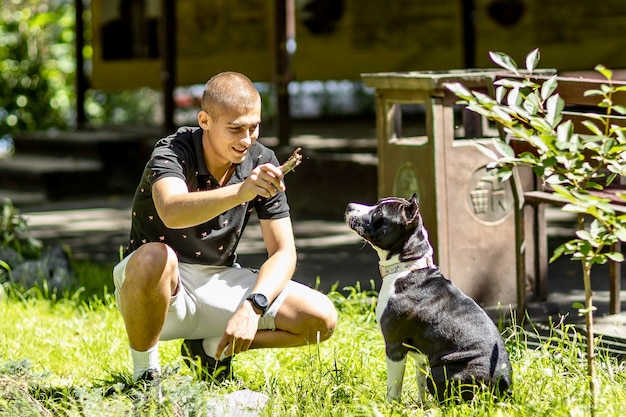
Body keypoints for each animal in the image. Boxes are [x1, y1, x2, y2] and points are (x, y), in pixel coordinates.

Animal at [344, 195, 510, 404]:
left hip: (440, 372)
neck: (407, 267)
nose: (349, 206)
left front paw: (391, 406)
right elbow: (419, 381)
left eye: (378, 213)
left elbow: (394, 387)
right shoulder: (420, 357)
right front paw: (420, 404)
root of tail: (502, 385)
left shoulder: (394, 347)